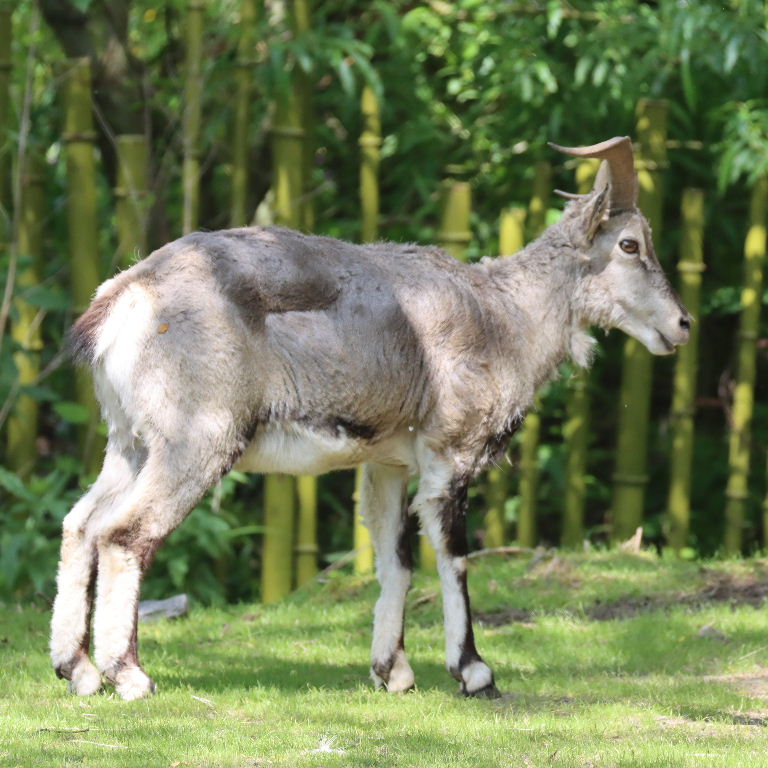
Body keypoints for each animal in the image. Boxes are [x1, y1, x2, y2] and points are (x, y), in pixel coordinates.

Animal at [50, 137, 690, 701]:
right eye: (630, 244)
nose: (682, 325)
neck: (505, 317)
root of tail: (122, 301)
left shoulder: (386, 464)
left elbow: (395, 562)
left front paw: (393, 671)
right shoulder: (450, 455)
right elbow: (453, 556)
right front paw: (474, 672)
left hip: (130, 444)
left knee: (80, 524)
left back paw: (77, 671)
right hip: (195, 440)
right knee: (123, 534)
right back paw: (130, 675)